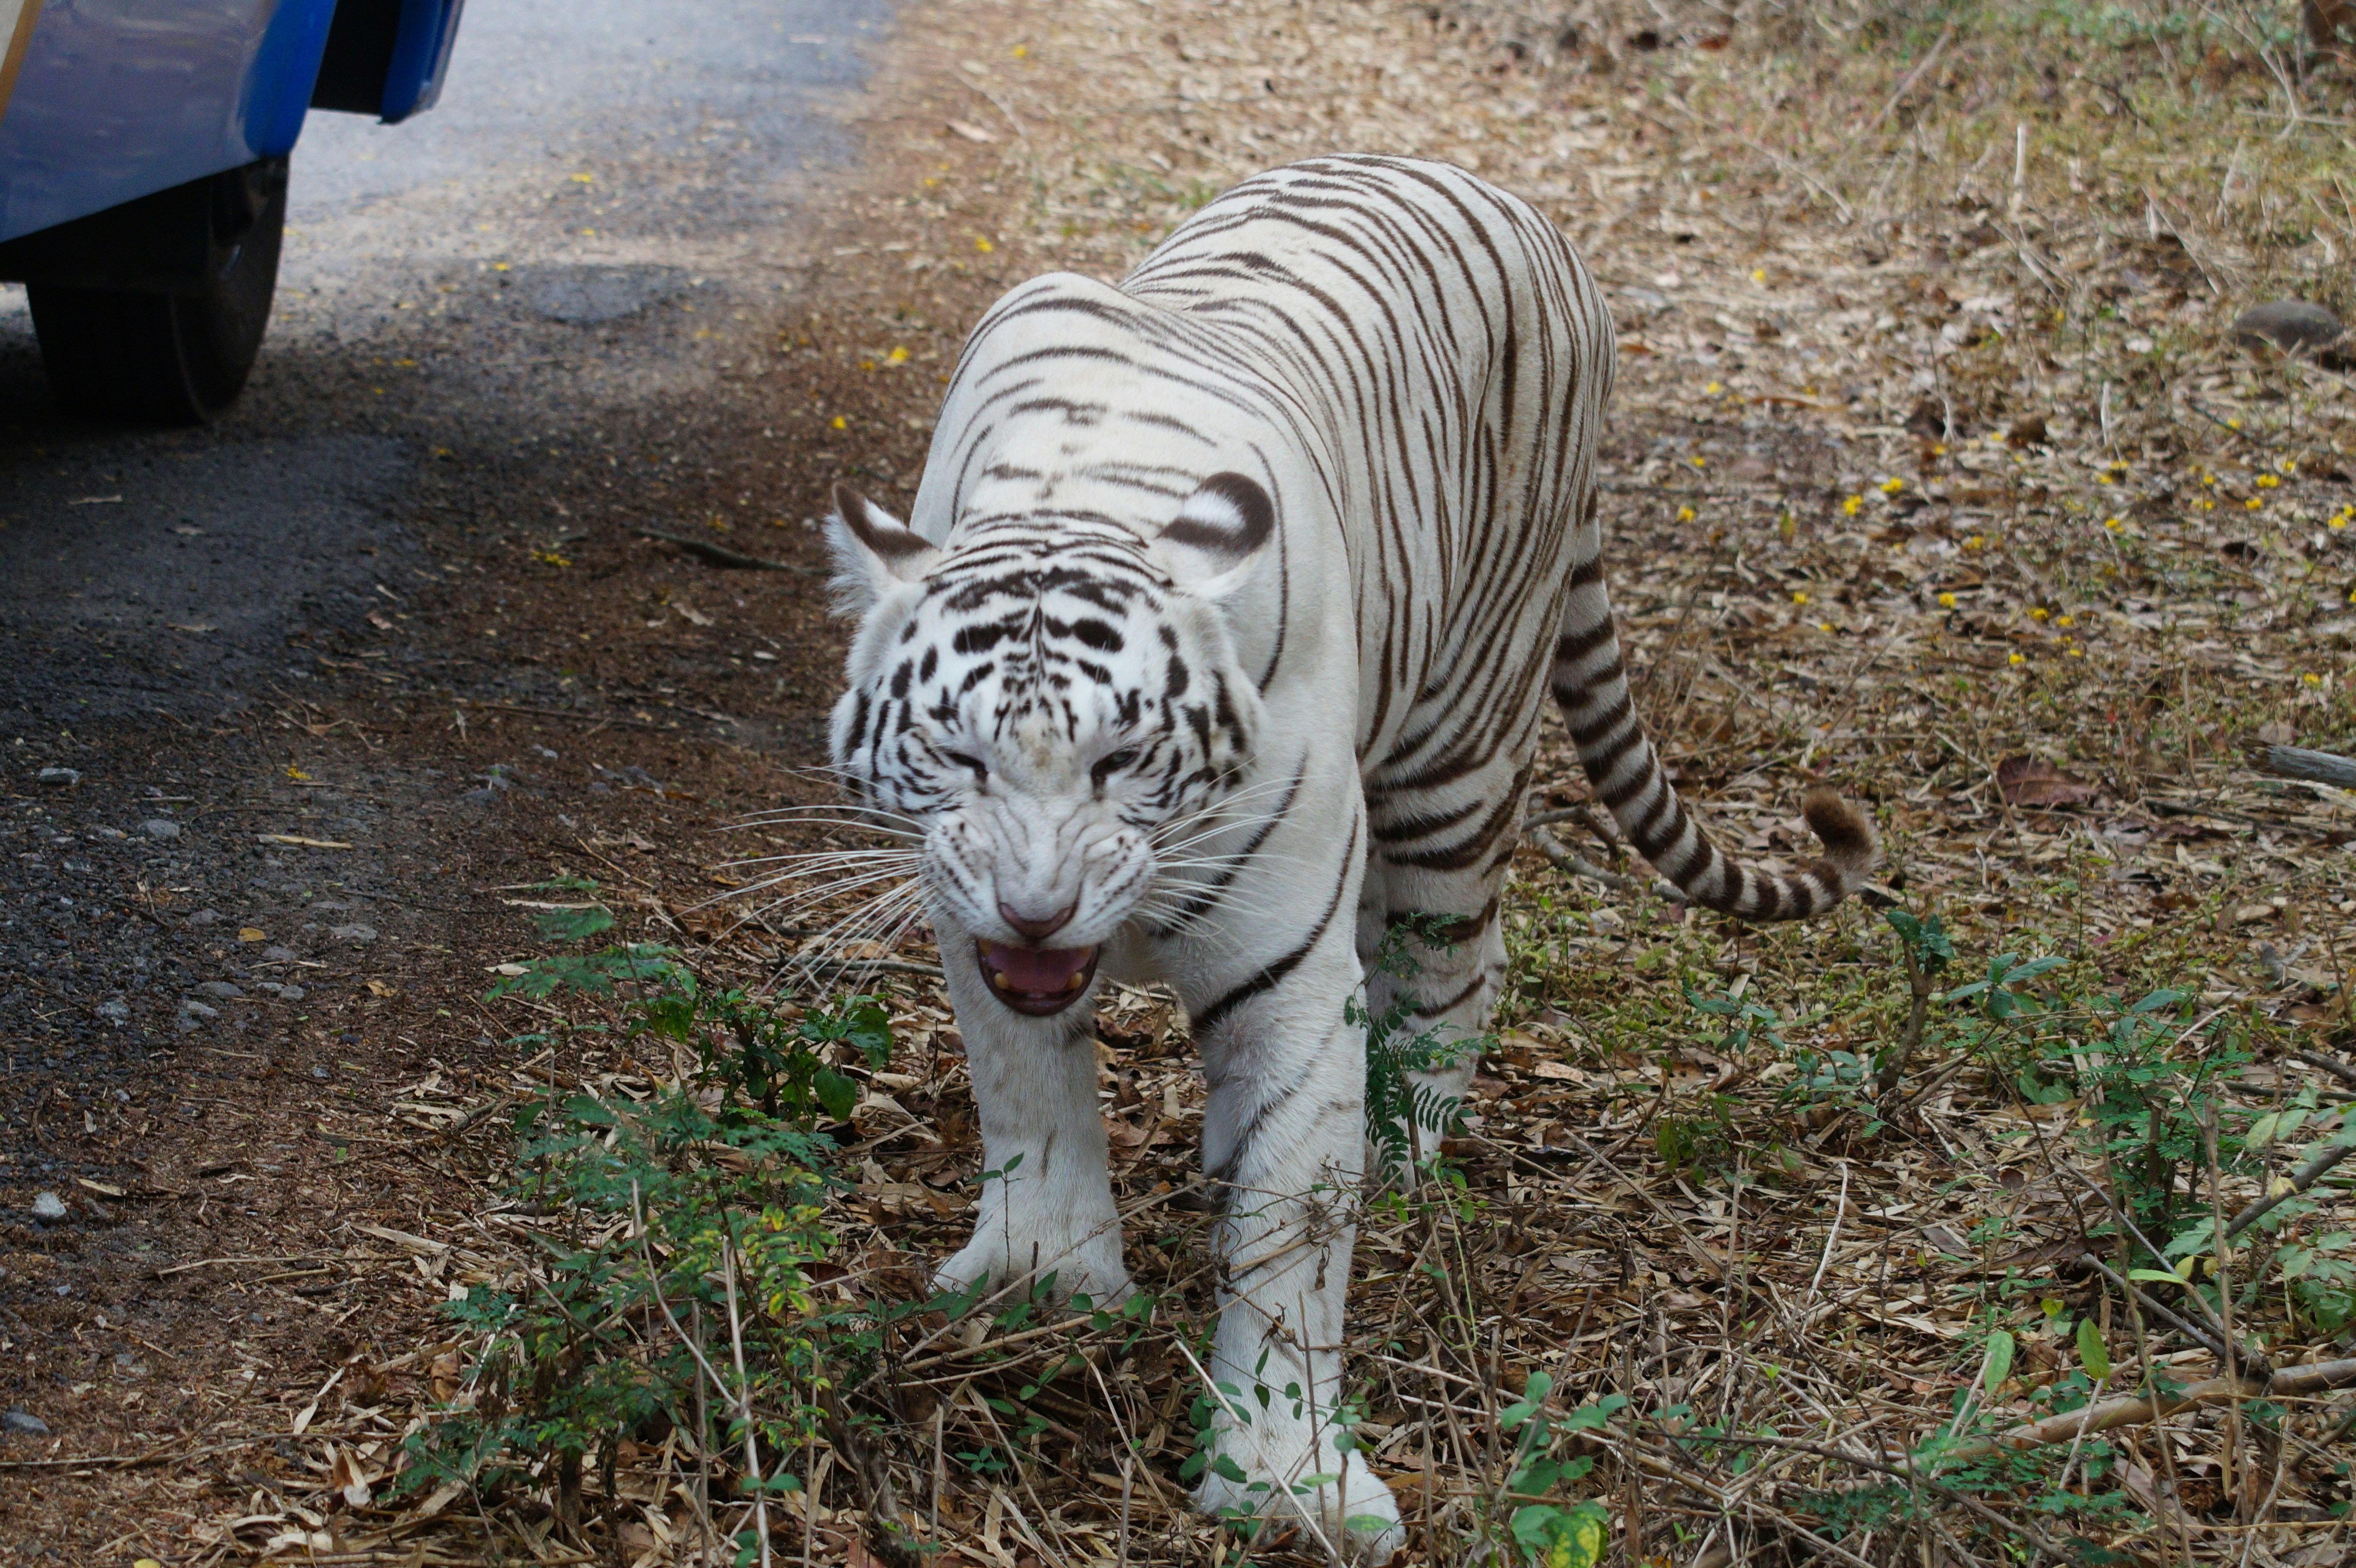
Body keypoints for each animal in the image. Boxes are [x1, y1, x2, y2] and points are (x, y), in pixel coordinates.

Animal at [822, 154, 1875, 1556]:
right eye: (957, 750)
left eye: (1125, 756)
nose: (1038, 908)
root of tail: (1501, 193)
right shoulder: (966, 921)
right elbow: (1026, 1090)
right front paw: (1040, 1279)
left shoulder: (1288, 968)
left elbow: (1295, 1234)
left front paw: (1283, 1482)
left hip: (1462, 747)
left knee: (1456, 965)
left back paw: (1405, 1150)